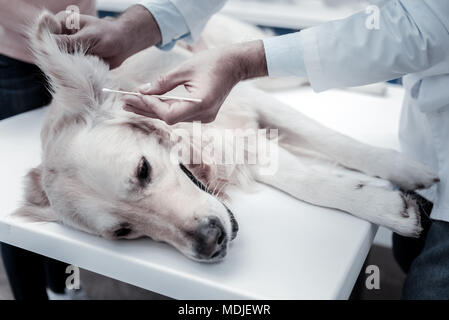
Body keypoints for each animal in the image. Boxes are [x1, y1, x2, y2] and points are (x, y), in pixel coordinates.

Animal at [14, 11, 438, 262]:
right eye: (123, 231)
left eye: (143, 170)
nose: (210, 242)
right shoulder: (239, 143)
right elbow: (306, 181)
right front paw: (382, 204)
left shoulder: (249, 103)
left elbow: (333, 142)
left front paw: (405, 170)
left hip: (262, 64)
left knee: (302, 59)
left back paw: (378, 87)